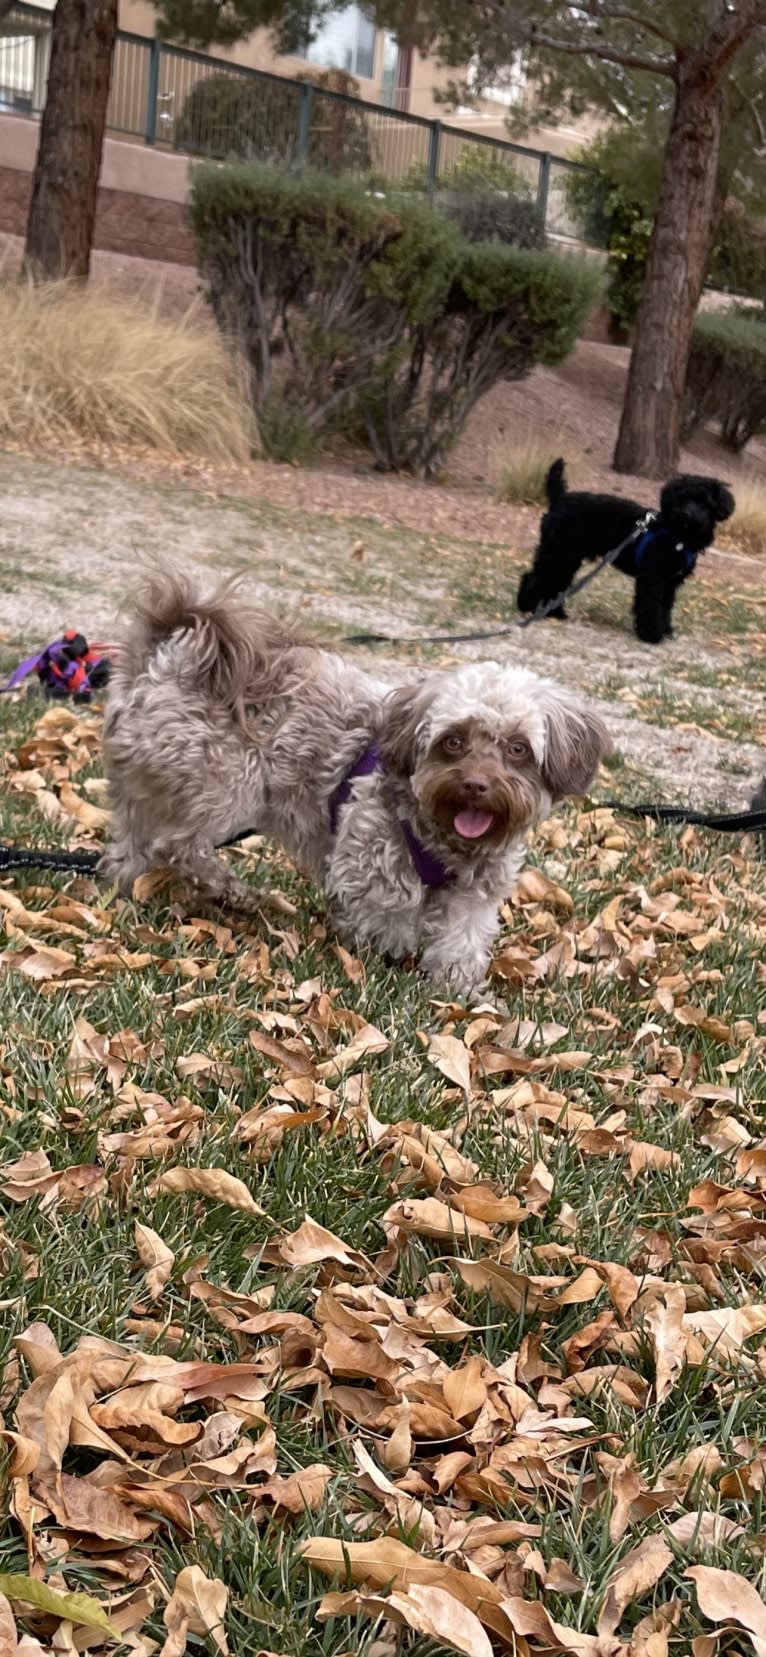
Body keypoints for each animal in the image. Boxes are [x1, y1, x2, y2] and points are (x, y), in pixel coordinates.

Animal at [517, 467, 732, 652]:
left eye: (704, 501)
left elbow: (665, 608)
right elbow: (650, 606)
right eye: (681, 498)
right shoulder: (653, 579)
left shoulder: (670, 584)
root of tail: (560, 498)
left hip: (566, 558)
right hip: (558, 554)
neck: (677, 534)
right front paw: (651, 635)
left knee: (553, 583)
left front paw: (666, 630)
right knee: (535, 578)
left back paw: (554, 612)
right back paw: (526, 605)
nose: (686, 514)